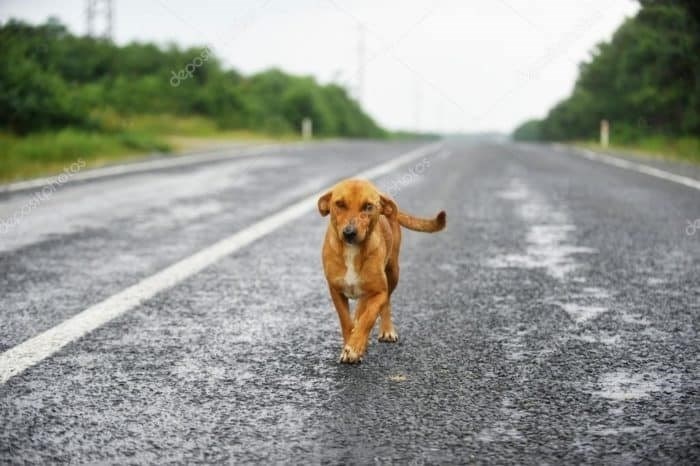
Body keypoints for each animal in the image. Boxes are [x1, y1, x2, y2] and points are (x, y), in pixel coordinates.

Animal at [316, 178, 442, 364]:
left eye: (368, 206)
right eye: (339, 204)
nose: (349, 233)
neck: (352, 252)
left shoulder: (379, 292)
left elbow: (368, 317)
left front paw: (354, 347)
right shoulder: (336, 291)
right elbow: (346, 321)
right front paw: (350, 343)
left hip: (393, 273)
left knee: (385, 303)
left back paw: (386, 330)